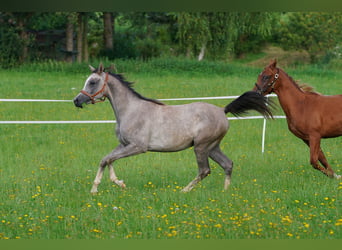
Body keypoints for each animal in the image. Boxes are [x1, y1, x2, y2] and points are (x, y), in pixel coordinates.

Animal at [74, 63, 272, 192]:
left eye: (92, 82)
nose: (77, 100)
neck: (130, 110)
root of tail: (223, 110)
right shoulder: (123, 144)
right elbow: (105, 159)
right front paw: (99, 188)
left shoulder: (138, 147)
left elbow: (109, 159)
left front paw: (114, 184)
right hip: (213, 147)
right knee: (227, 164)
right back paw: (225, 192)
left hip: (201, 147)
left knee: (205, 170)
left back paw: (184, 191)